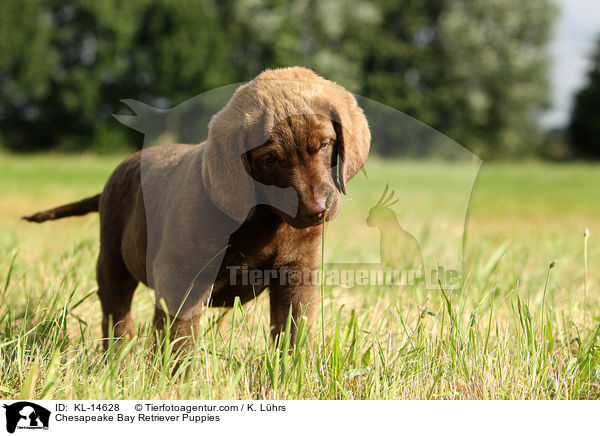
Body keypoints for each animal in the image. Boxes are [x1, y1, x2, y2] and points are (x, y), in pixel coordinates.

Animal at [23, 67, 370, 348]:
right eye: (270, 160)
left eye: (325, 145)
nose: (316, 209)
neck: (264, 219)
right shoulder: (182, 276)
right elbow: (180, 338)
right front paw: (174, 381)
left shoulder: (298, 275)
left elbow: (294, 334)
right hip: (112, 257)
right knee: (116, 313)